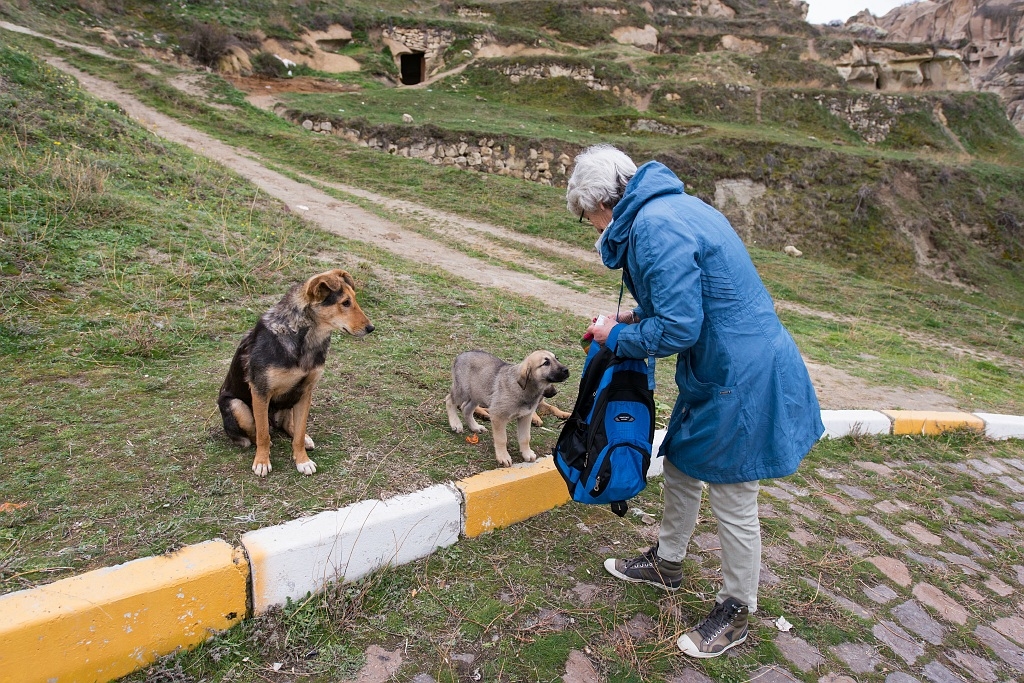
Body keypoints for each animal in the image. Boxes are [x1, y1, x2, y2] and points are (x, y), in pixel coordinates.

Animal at [218, 270, 374, 479]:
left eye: (354, 300)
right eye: (345, 302)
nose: (371, 328)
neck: (306, 337)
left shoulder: (306, 392)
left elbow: (299, 433)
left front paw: (302, 461)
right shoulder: (260, 392)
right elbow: (262, 434)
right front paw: (262, 461)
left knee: (288, 426)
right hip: (237, 406)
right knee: (256, 432)